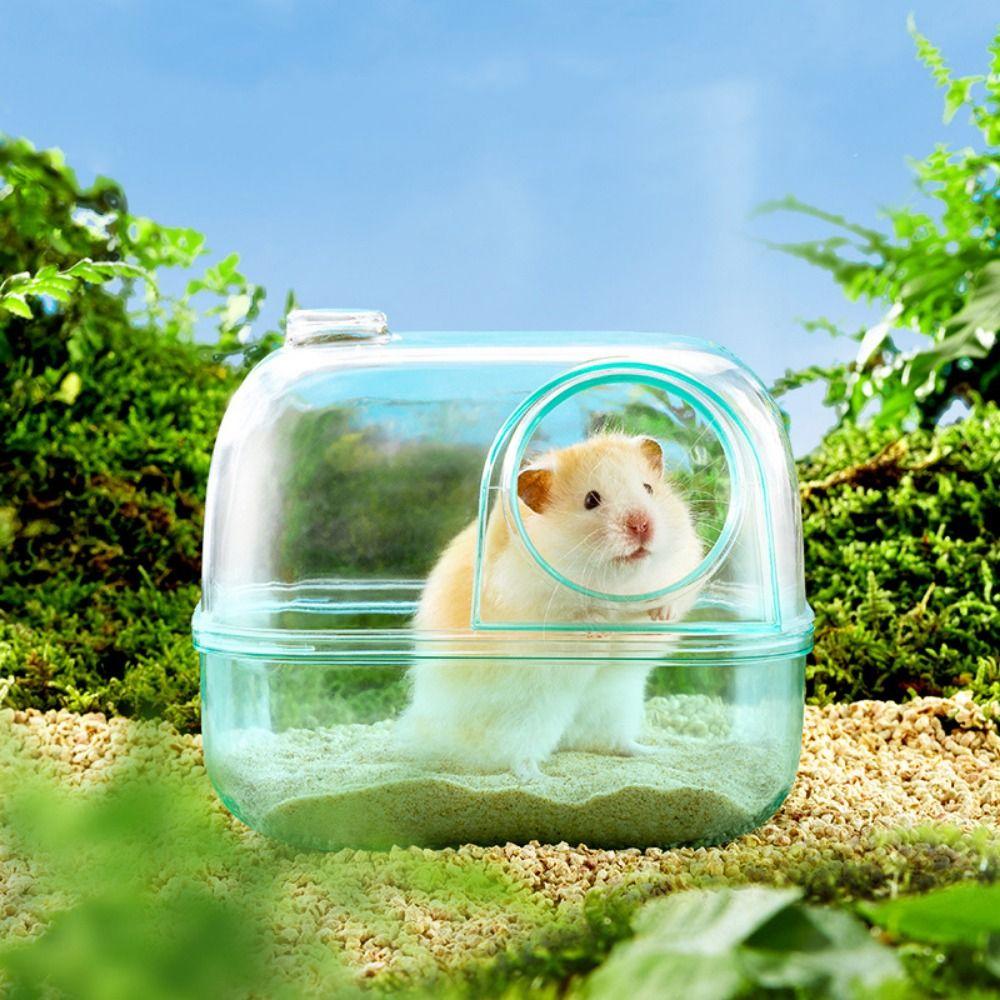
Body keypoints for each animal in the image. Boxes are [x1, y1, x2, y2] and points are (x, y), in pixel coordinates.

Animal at [396, 433, 704, 780]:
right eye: (591, 500)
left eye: (648, 488)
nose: (641, 525)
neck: (617, 580)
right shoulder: (530, 600)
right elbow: (576, 615)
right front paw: (599, 630)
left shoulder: (682, 563)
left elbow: (671, 596)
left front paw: (661, 614)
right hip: (528, 717)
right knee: (514, 756)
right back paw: (539, 778)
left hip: (617, 704)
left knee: (611, 742)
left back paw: (657, 752)